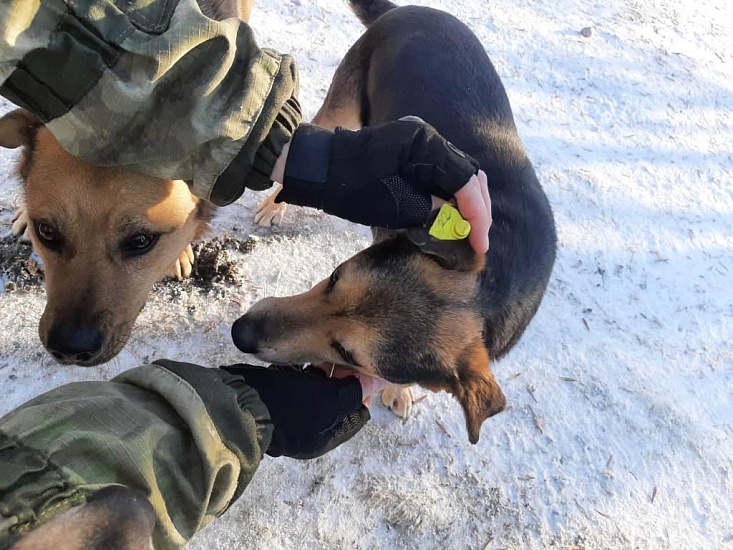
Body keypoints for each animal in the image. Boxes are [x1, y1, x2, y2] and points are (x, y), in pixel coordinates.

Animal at [233, 0, 556, 444]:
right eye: (335, 276)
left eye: (347, 352)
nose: (241, 331)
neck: (498, 279)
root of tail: (408, 9)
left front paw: (398, 390)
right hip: (344, 106)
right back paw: (274, 205)